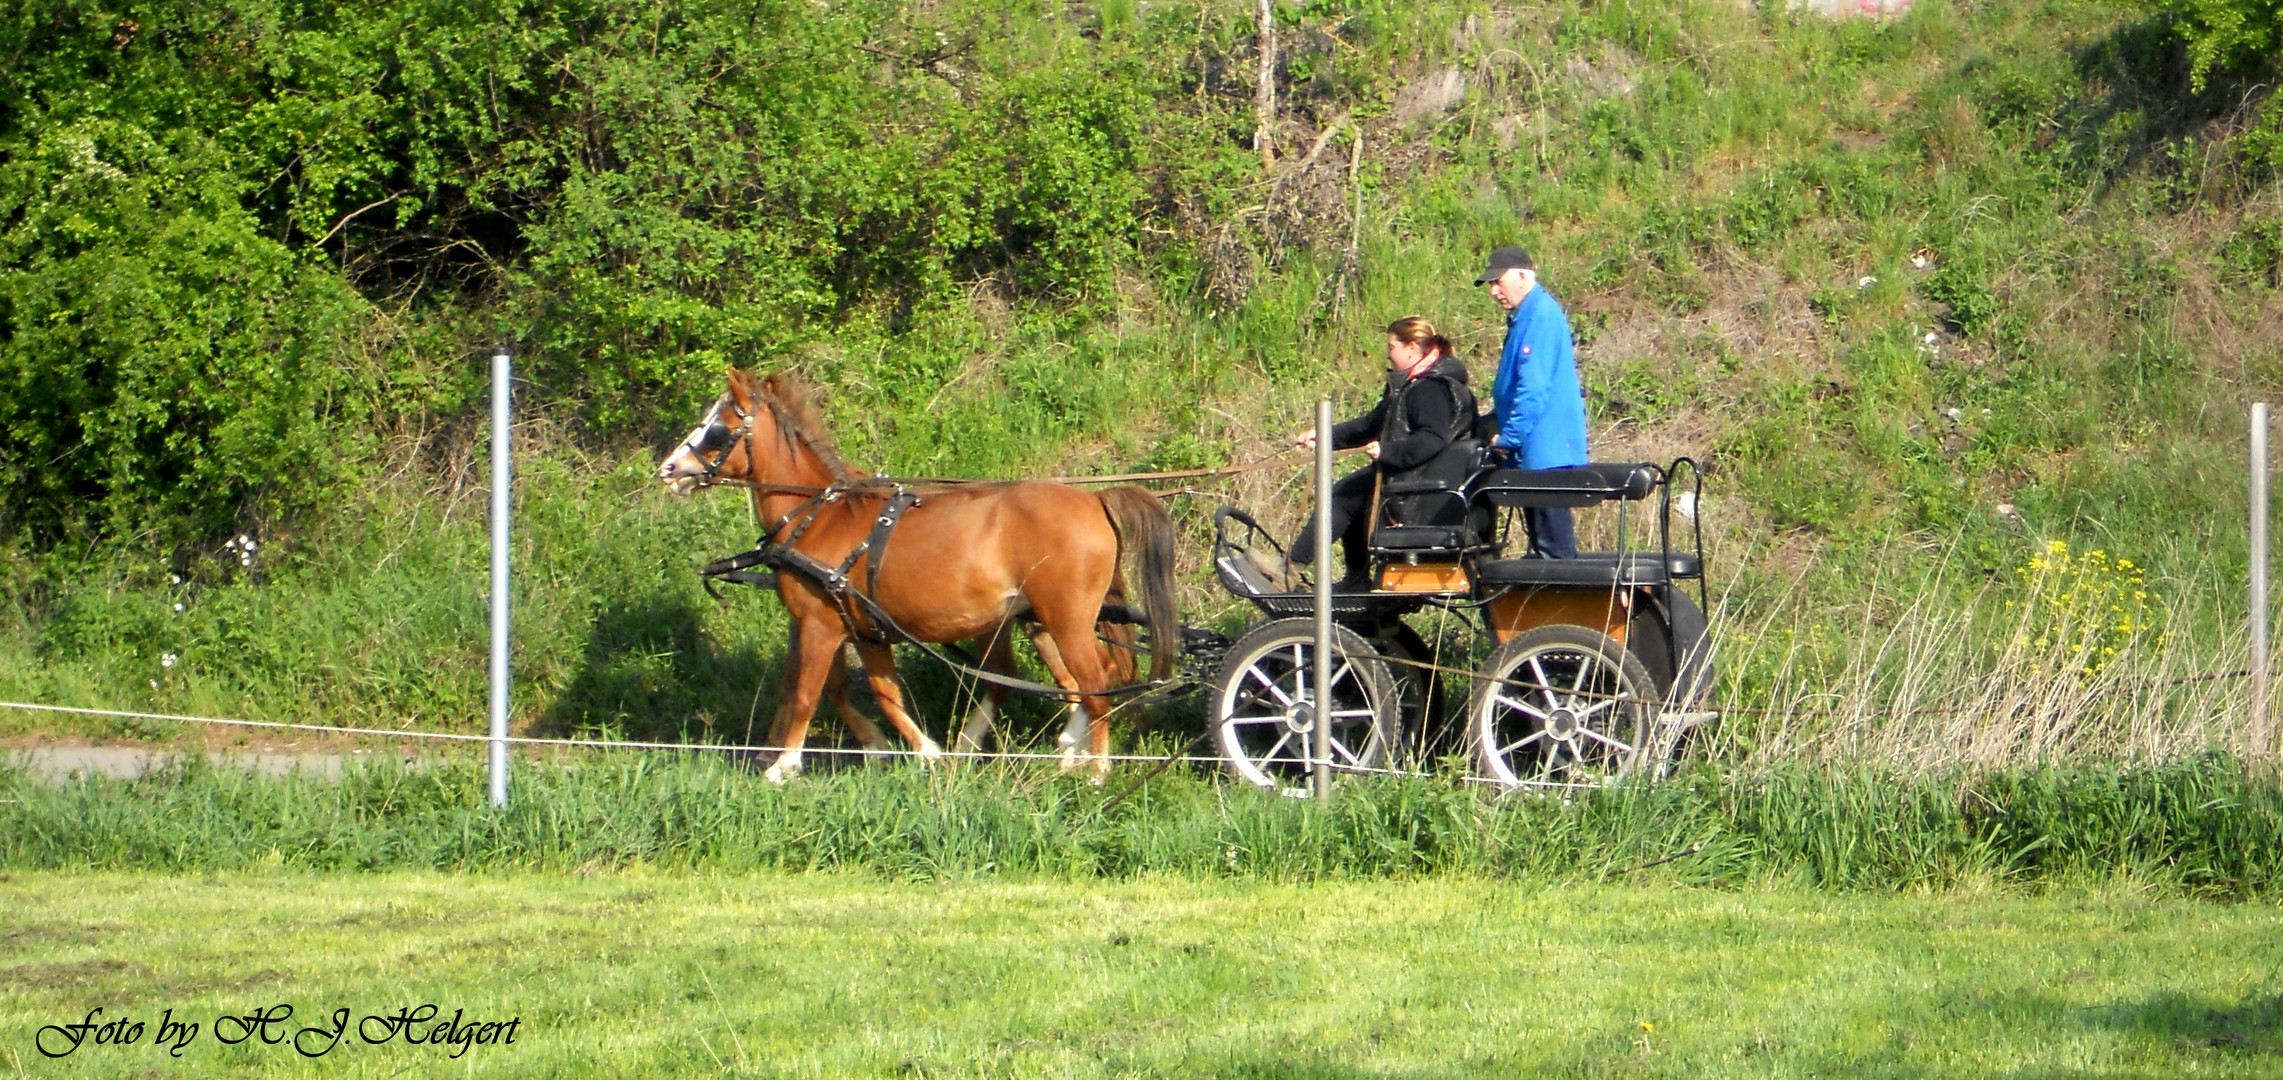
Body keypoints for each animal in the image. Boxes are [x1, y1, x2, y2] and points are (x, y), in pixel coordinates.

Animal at [652, 367, 1168, 776]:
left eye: (718, 428)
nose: (668, 469)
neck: (820, 515)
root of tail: (1094, 499)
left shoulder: (819, 625)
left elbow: (807, 693)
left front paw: (784, 765)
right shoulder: (865, 631)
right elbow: (880, 694)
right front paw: (919, 751)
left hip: (1065, 619)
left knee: (1095, 683)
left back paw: (1096, 771)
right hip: (1037, 620)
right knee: (1066, 680)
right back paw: (1053, 752)